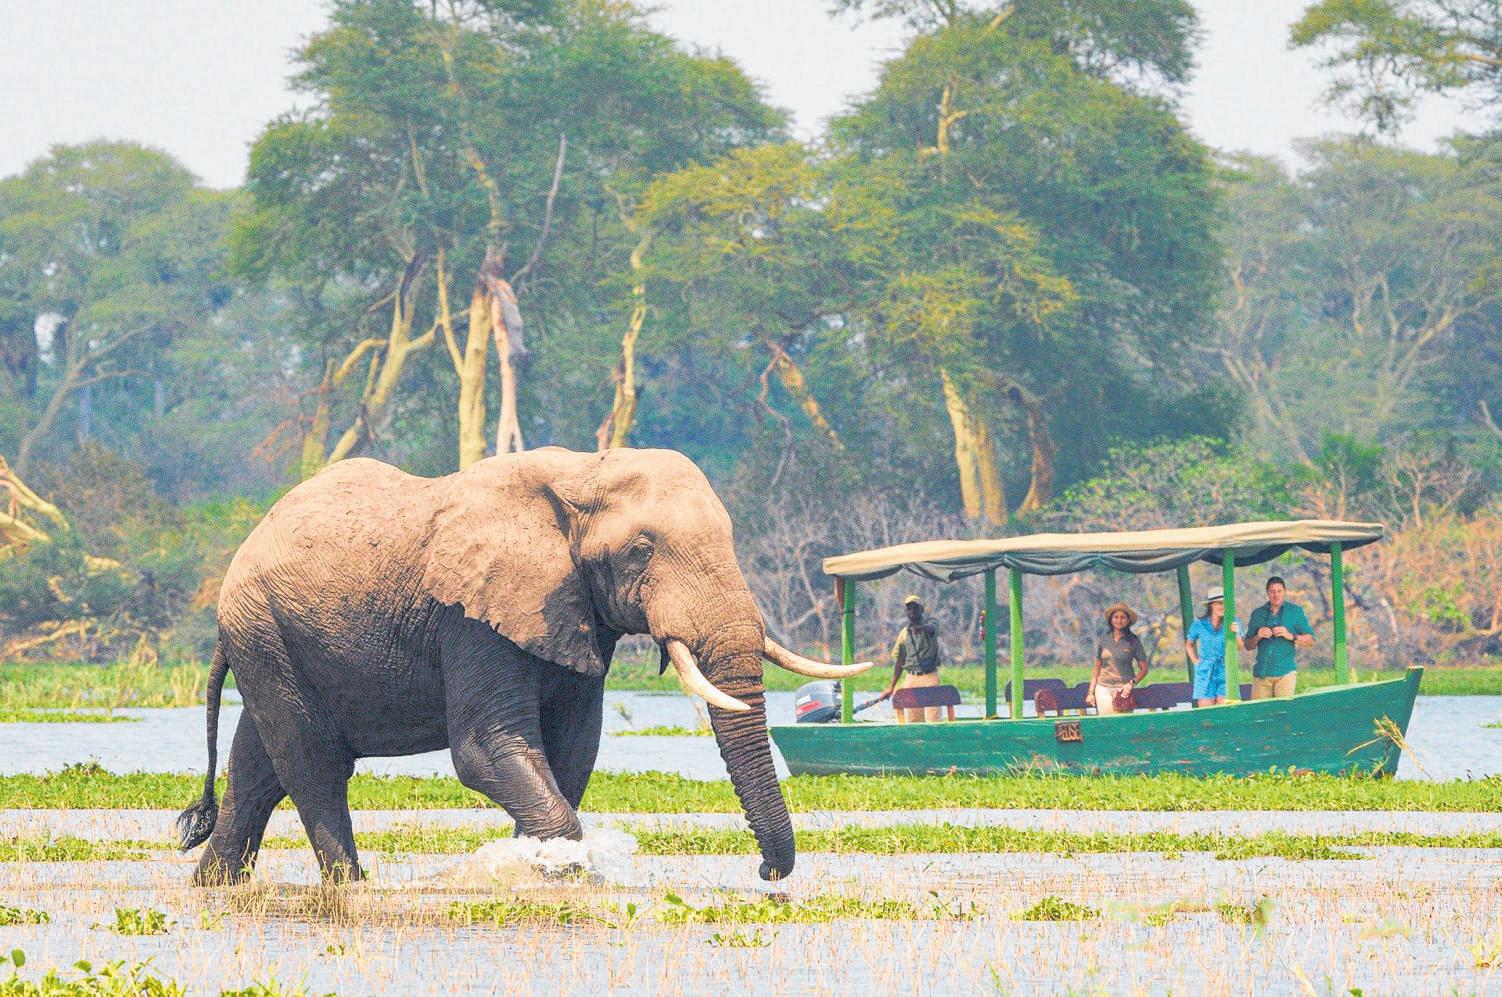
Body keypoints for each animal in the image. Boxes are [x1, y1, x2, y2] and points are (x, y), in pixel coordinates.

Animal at [177, 447, 870, 885]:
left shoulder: (575, 613)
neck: (583, 474)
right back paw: (350, 887)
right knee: (312, 764)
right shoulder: (474, 618)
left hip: (273, 641)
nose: (765, 872)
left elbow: (572, 749)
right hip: (265, 631)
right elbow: (489, 748)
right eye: (642, 549)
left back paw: (213, 887)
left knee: (258, 769)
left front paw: (531, 872)